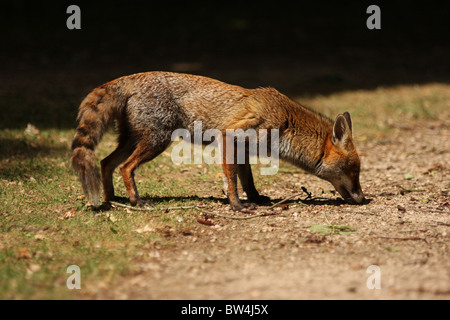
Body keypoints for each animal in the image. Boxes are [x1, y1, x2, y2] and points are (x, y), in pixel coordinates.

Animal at [70, 71, 366, 211]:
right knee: (125, 167)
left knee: (106, 163)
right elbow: (232, 181)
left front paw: (256, 200)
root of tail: (129, 78)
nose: (363, 199)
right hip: (156, 141)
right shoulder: (230, 137)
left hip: (134, 140)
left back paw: (112, 200)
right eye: (353, 171)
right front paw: (237, 206)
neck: (286, 119)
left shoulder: (243, 149)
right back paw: (136, 201)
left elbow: (248, 180)